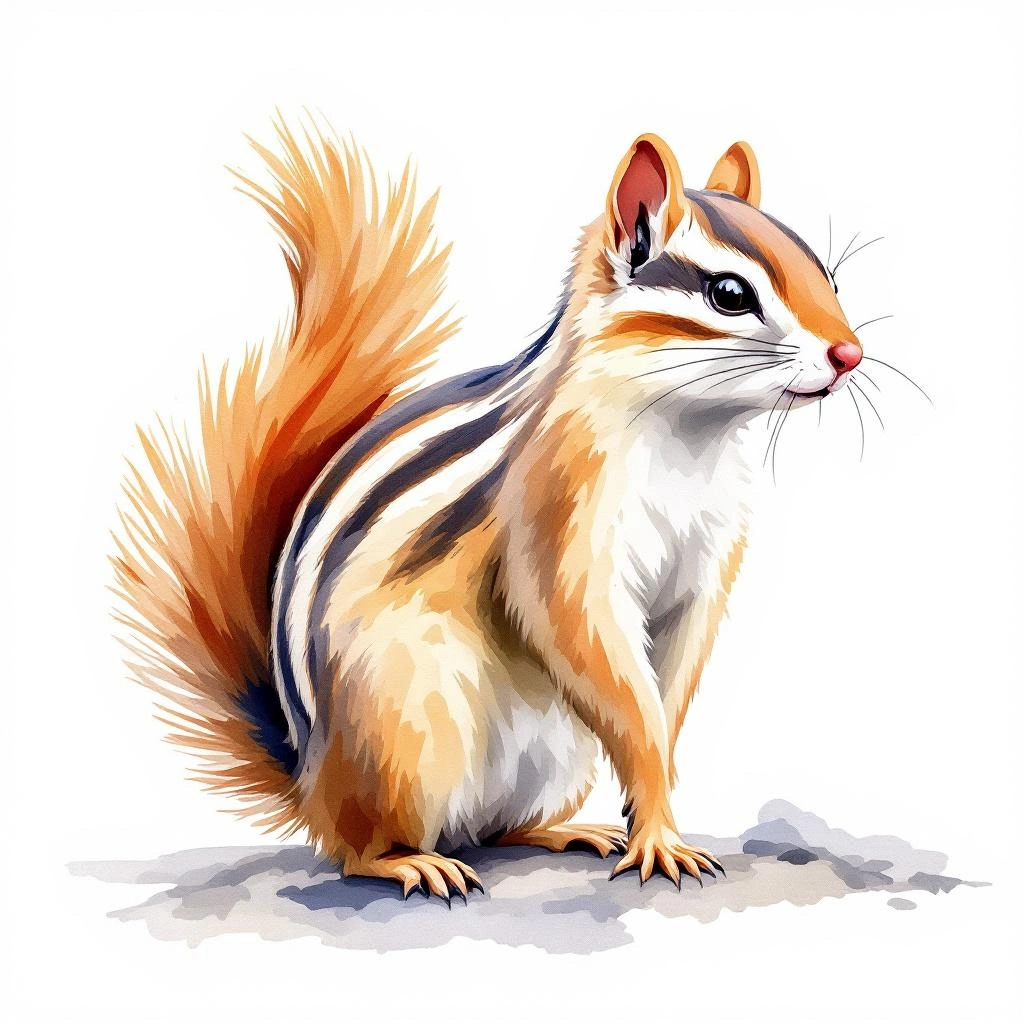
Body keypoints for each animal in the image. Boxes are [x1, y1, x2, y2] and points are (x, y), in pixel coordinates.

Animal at [114, 123, 864, 901]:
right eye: (729, 294)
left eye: (829, 278)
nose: (851, 353)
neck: (691, 433)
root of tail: (309, 775)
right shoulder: (557, 518)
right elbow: (580, 636)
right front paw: (658, 821)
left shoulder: (704, 565)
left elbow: (673, 683)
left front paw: (653, 810)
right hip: (407, 731)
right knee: (357, 848)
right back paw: (410, 861)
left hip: (552, 757)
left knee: (494, 828)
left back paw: (569, 831)